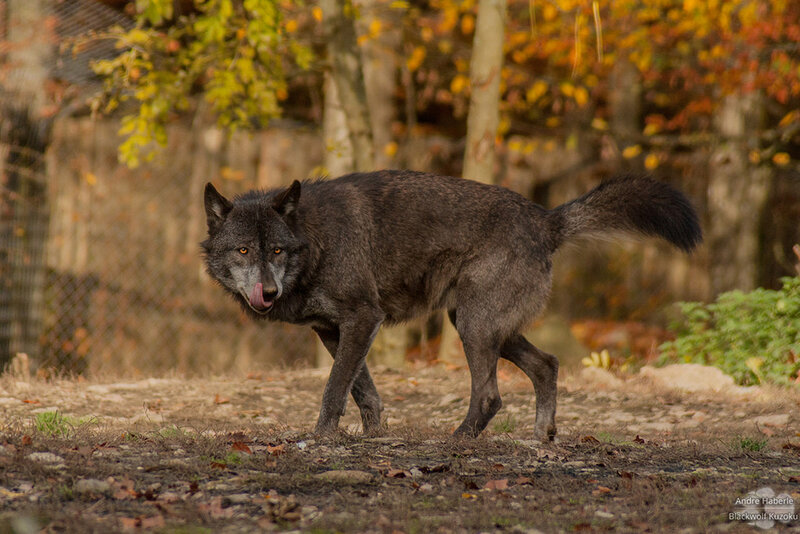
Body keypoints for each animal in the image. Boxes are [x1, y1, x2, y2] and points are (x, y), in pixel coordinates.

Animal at [202, 170, 701, 440]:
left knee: (491, 395)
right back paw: (542, 436)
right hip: (478, 324)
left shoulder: (363, 319)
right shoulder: (332, 330)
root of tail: (546, 219)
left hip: (476, 328)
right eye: (243, 251)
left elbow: (334, 389)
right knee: (548, 364)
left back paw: (460, 438)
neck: (315, 238)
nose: (268, 293)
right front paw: (375, 435)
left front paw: (323, 437)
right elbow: (364, 391)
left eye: (277, 251)